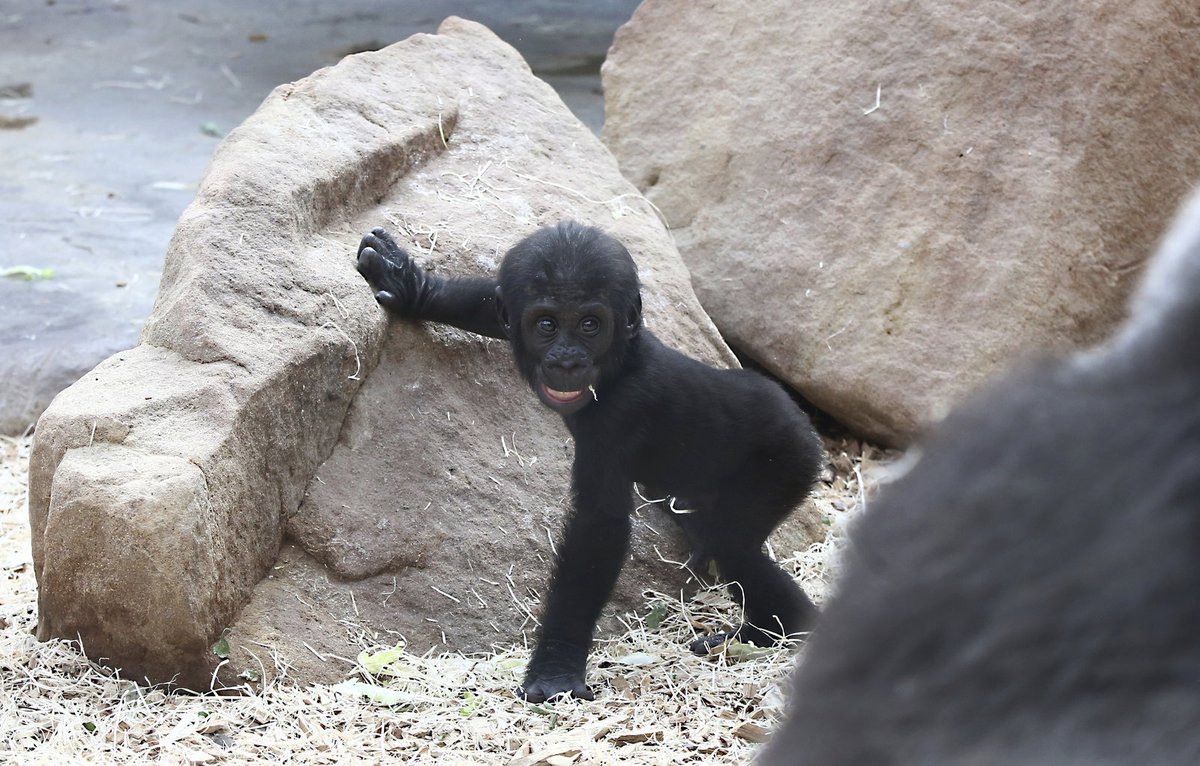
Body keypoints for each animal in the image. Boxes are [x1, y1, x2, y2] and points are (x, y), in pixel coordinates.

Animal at [355, 220, 825, 701]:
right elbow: (490, 304)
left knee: (734, 545)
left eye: (590, 325)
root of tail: (800, 420)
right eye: (546, 325)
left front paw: (556, 668)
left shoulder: (622, 414)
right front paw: (412, 285)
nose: (567, 360)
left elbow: (597, 530)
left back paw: (778, 631)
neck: (619, 365)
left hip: (786, 460)